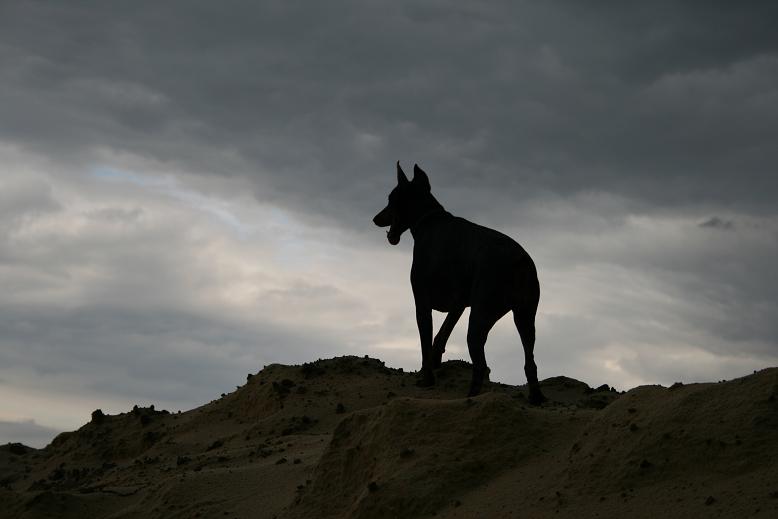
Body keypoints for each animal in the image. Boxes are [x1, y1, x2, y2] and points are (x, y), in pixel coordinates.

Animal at [372, 162, 544, 406]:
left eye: (391, 198)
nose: (375, 218)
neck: (428, 221)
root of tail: (519, 261)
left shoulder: (422, 302)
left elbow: (425, 340)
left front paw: (427, 378)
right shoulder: (459, 303)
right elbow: (442, 333)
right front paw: (435, 360)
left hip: (481, 315)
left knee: (481, 364)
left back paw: (472, 398)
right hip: (525, 317)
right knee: (530, 361)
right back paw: (536, 398)